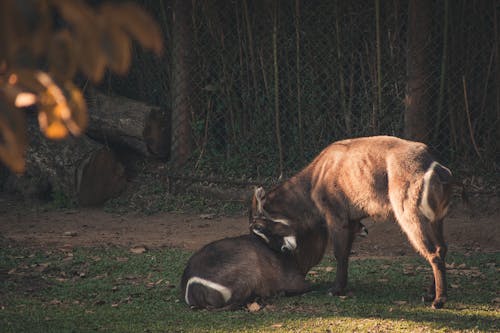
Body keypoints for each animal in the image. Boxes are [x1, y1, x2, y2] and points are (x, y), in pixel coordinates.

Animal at [252, 136, 452, 308]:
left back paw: (439, 300)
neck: (314, 178)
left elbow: (339, 253)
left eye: (259, 227)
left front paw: (336, 289)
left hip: (412, 217)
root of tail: (435, 167)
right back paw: (429, 294)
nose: (283, 249)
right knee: (442, 249)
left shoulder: (336, 217)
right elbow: (347, 253)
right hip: (436, 220)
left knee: (433, 252)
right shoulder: (353, 221)